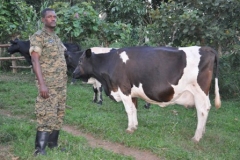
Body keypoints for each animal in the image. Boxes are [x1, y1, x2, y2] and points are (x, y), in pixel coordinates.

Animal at [72, 45, 221, 142]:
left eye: (80, 61)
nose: (73, 73)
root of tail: (206, 48)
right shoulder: (132, 93)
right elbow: (134, 109)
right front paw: (134, 126)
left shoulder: (124, 89)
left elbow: (129, 110)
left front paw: (129, 128)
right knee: (206, 109)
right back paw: (202, 132)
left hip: (199, 92)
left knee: (202, 110)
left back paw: (197, 137)